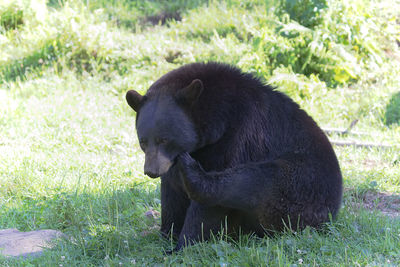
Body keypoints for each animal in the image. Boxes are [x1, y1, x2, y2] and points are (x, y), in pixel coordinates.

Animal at [126, 61, 342, 252]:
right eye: (143, 141)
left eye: (164, 139)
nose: (151, 171)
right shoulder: (173, 163)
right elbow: (171, 195)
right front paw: (167, 233)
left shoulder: (240, 135)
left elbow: (209, 208)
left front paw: (183, 244)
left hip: (305, 189)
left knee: (259, 179)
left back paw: (193, 176)